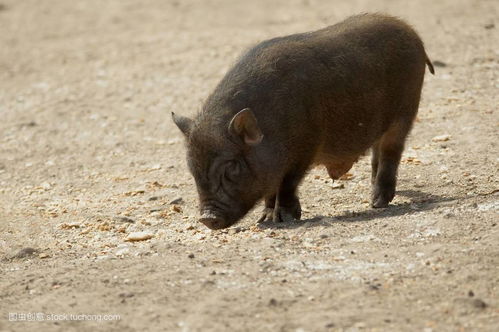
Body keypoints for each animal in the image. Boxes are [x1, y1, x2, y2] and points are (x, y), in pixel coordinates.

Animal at [172, 14, 434, 230]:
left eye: (230, 166)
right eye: (192, 169)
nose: (206, 218)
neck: (269, 125)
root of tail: (412, 33)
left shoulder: (304, 149)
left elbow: (287, 183)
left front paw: (285, 218)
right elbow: (271, 188)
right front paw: (266, 219)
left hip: (405, 112)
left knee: (391, 153)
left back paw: (378, 203)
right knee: (376, 153)